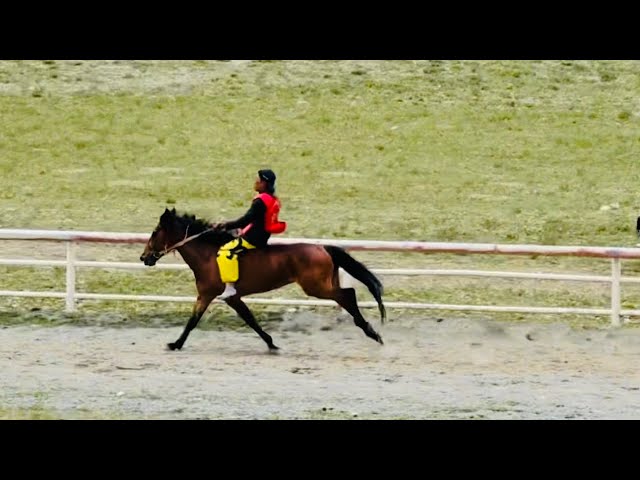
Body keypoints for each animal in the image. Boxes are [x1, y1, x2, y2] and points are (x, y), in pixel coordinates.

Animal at [139, 208, 384, 350]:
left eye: (154, 232)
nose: (144, 257)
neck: (208, 255)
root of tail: (323, 247)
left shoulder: (209, 294)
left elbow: (193, 321)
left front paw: (175, 344)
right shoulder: (229, 297)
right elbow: (250, 319)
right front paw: (271, 342)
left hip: (316, 288)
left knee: (348, 295)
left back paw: (371, 332)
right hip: (323, 285)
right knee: (347, 296)